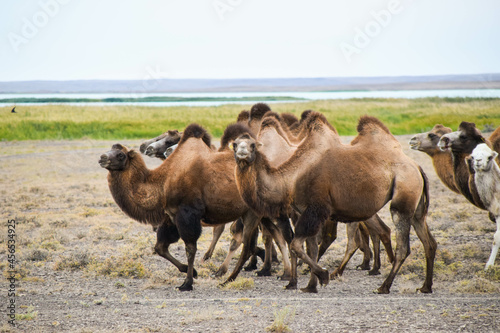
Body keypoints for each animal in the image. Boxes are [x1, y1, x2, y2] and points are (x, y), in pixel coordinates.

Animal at [232, 112, 436, 294]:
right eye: (234, 144)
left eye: (252, 145)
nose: (242, 152)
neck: (292, 178)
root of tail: (417, 167)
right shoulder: (305, 211)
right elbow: (310, 248)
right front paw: (309, 286)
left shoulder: (316, 208)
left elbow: (296, 245)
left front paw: (322, 276)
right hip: (416, 206)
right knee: (428, 241)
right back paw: (425, 287)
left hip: (403, 195)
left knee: (402, 246)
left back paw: (383, 286)